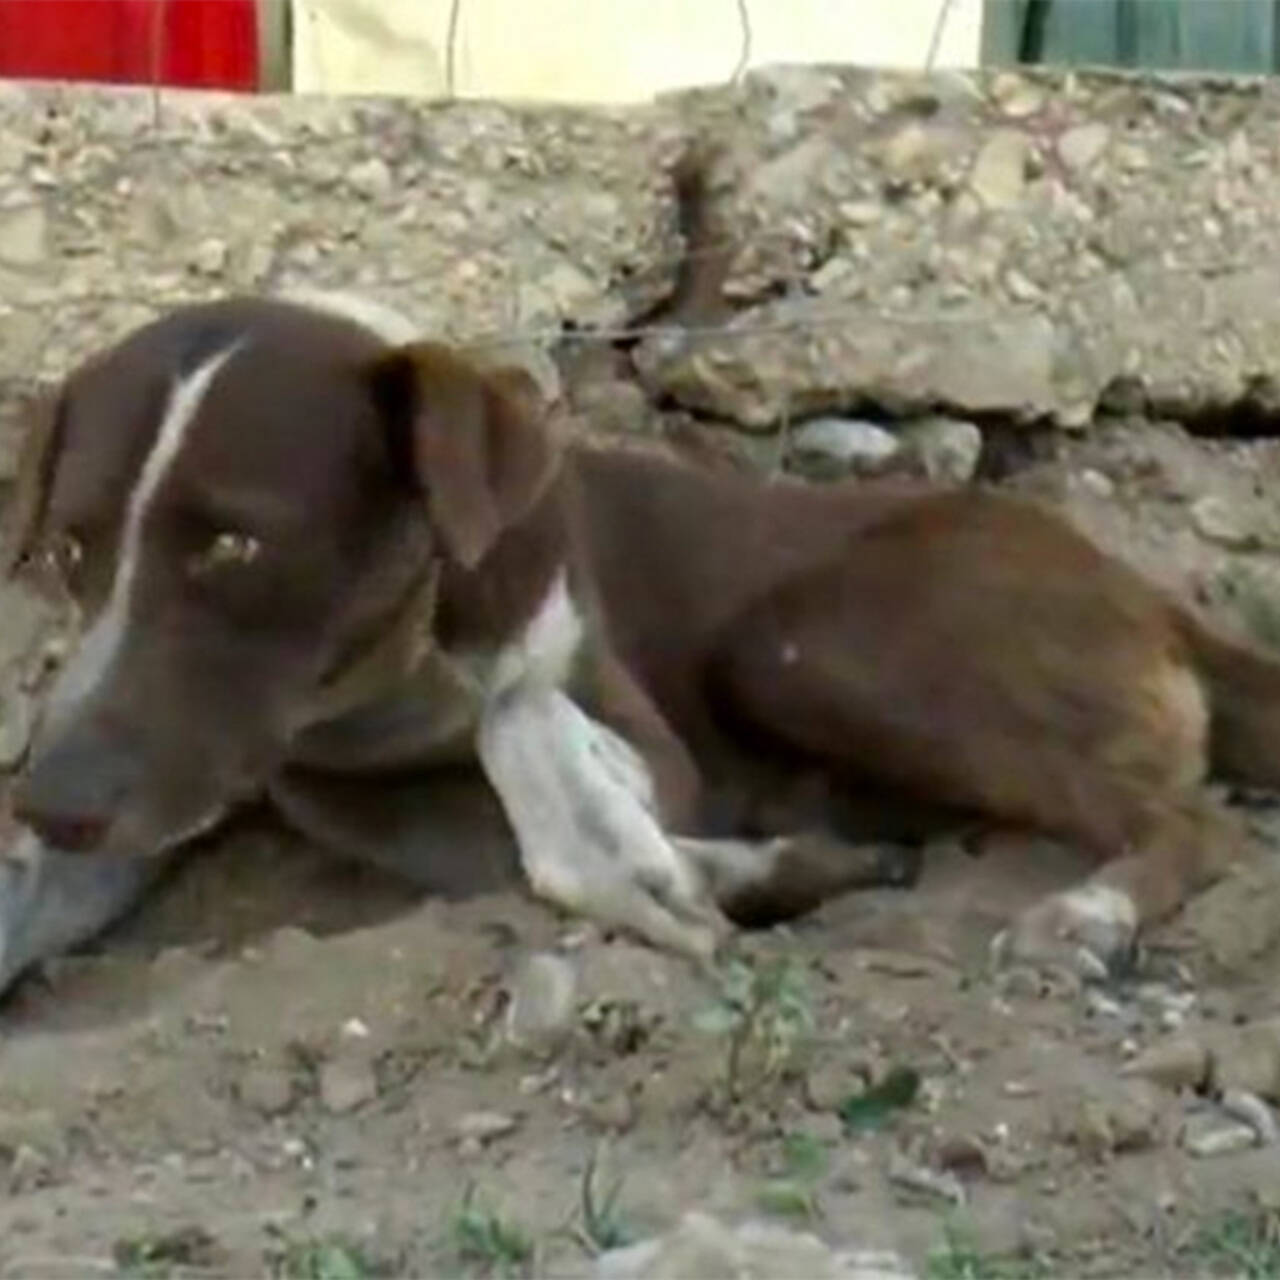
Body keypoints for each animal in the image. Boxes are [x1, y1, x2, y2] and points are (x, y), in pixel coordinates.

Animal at [2, 294, 1280, 993]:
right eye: (69, 547)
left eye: (235, 546)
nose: (48, 801)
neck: (387, 684)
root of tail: (1143, 587)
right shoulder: (288, 772)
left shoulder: (639, 730)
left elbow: (526, 723)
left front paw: (631, 844)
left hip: (807, 642)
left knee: (1192, 818)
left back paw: (1085, 909)